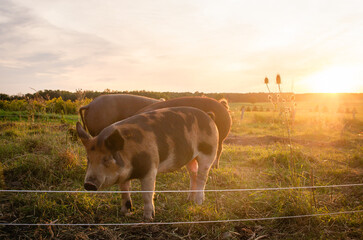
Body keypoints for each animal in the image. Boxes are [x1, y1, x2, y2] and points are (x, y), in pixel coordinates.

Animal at [76, 108, 219, 220]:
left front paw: (148, 218)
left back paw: (199, 202)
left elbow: (147, 194)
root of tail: (209, 116)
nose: (88, 184)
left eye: (106, 159)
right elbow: (124, 192)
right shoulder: (123, 175)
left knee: (202, 177)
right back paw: (189, 200)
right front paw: (125, 212)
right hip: (190, 158)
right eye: (88, 159)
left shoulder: (150, 168)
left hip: (209, 153)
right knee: (193, 174)